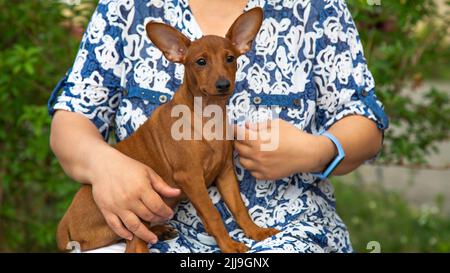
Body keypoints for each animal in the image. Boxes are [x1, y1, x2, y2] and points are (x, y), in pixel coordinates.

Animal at [55, 6, 278, 253]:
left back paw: (160, 230)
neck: (208, 116)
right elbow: (213, 215)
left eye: (230, 59)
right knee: (135, 245)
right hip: (136, 207)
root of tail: (64, 225)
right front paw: (229, 245)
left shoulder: (226, 173)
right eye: (201, 62)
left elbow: (239, 208)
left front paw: (256, 232)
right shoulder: (190, 177)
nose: (223, 85)